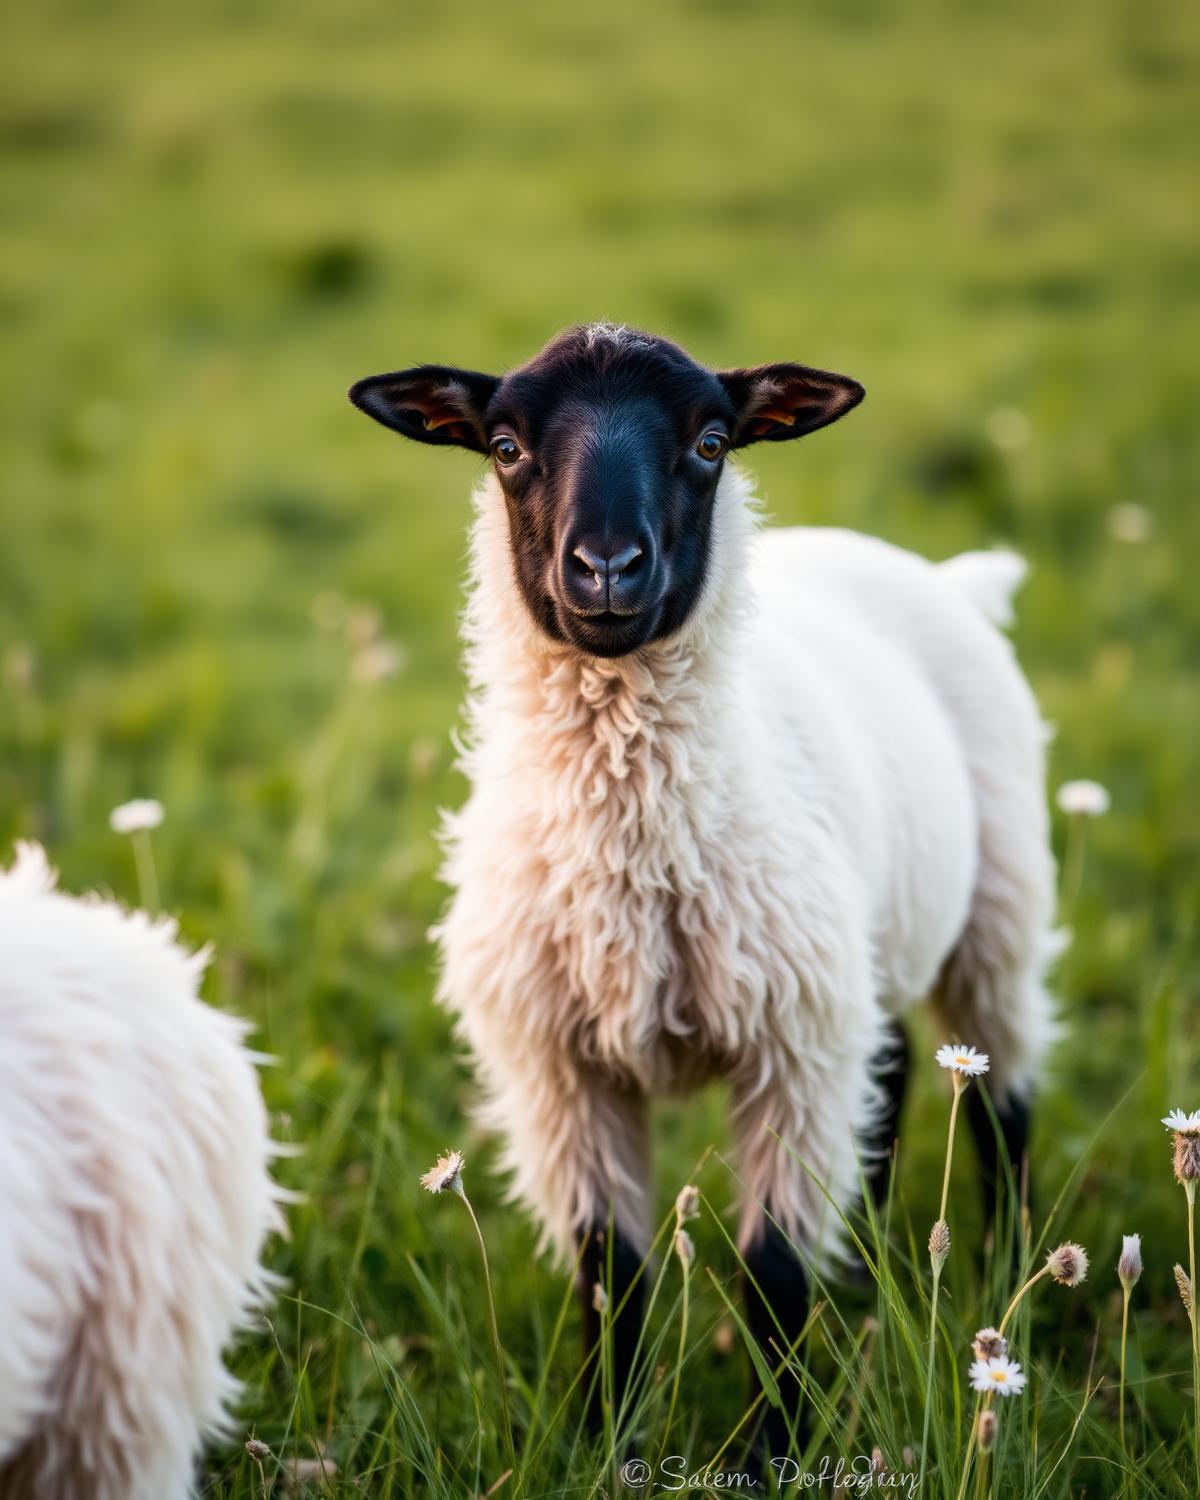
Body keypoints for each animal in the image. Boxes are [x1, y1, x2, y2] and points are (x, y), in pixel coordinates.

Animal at [350, 322, 1059, 1444]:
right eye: (504, 447)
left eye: (713, 441)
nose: (606, 567)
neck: (633, 862)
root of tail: (946, 579)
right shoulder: (563, 1072)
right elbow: (610, 1271)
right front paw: (606, 1435)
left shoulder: (788, 1050)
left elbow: (771, 1271)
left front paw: (775, 1450)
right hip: (858, 955)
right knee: (898, 1060)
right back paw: (866, 1265)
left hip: (1000, 903)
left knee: (1003, 1097)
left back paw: (1009, 1271)